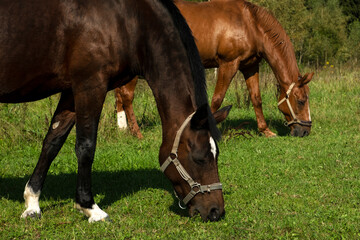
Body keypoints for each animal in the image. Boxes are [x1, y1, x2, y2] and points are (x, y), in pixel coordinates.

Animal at [0, 0, 231, 222]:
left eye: (216, 154)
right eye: (199, 158)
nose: (215, 211)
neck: (128, 18)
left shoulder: (71, 91)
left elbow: (52, 142)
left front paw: (32, 204)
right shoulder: (90, 84)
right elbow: (86, 147)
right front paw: (90, 208)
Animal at [114, 0, 312, 139]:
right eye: (301, 101)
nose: (305, 131)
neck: (249, 23)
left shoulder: (250, 66)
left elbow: (256, 98)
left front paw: (265, 131)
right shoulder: (228, 64)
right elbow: (217, 99)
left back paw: (123, 128)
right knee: (127, 97)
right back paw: (137, 134)